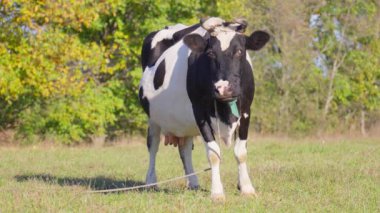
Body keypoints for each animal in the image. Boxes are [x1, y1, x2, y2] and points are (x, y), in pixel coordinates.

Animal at [138, 17, 268, 201]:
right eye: (210, 53)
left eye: (240, 51)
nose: (223, 89)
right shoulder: (200, 112)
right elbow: (213, 154)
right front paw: (217, 193)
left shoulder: (246, 111)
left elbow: (241, 152)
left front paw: (246, 187)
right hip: (153, 119)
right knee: (153, 146)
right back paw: (150, 182)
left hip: (184, 123)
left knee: (185, 149)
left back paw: (192, 182)